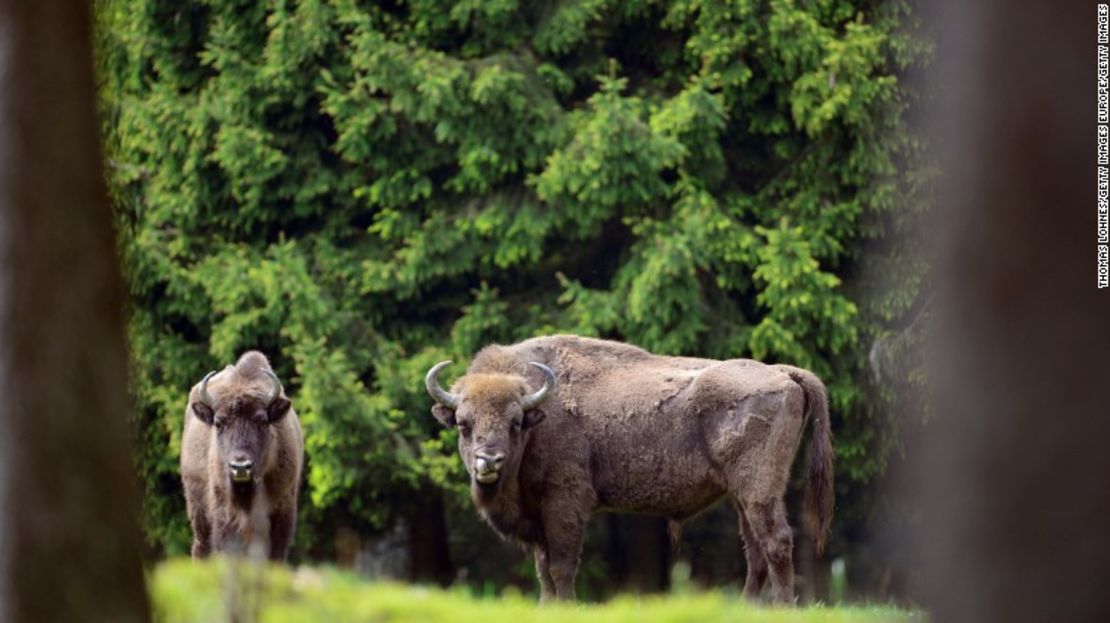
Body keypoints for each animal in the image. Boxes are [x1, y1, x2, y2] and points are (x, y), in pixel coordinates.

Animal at [182, 350, 304, 559]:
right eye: (219, 423)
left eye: (262, 421)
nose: (240, 467)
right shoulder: (225, 516)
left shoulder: (282, 511)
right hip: (198, 510)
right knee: (201, 547)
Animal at [424, 335, 834, 604]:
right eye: (463, 423)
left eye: (515, 423)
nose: (489, 461)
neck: (540, 413)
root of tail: (783, 373)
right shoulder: (538, 516)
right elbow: (543, 570)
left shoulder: (565, 504)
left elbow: (561, 567)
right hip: (741, 496)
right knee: (756, 552)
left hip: (758, 490)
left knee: (776, 542)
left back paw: (783, 608)